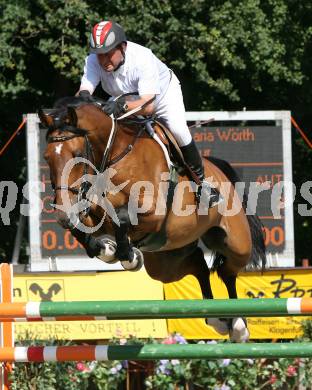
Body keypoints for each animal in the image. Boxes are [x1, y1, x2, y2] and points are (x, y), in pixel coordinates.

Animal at [39, 95, 266, 342]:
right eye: (47, 157)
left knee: (227, 271)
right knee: (198, 265)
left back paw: (238, 325)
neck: (114, 156)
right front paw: (107, 250)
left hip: (236, 243)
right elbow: (81, 230)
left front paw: (128, 256)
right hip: (166, 261)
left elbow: (121, 218)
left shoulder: (152, 212)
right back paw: (217, 319)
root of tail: (219, 169)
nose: (62, 213)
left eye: (77, 155)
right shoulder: (92, 214)